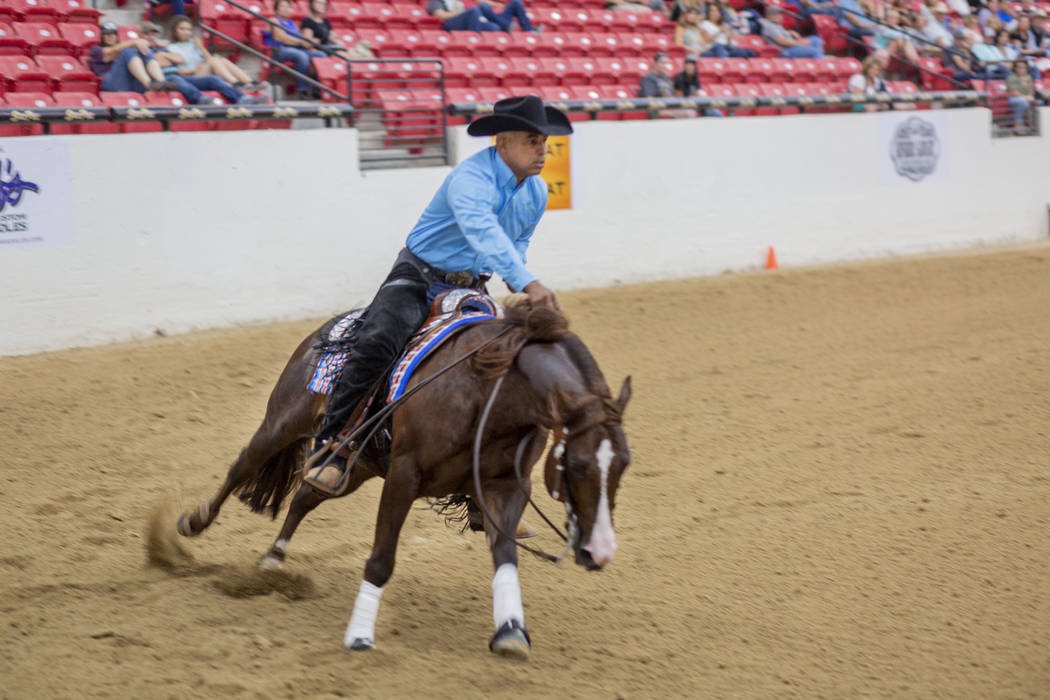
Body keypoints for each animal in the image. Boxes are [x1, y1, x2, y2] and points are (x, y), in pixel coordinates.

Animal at [175, 298, 625, 659]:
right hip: (284, 422)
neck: (489, 393)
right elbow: (380, 560)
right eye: (577, 465)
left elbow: (505, 556)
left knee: (305, 495)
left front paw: (511, 632)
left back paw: (273, 558)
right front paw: (359, 636)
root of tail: (331, 327)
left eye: (623, 464)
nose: (599, 551)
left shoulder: (507, 487)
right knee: (244, 465)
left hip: (354, 466)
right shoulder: (404, 477)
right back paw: (193, 522)